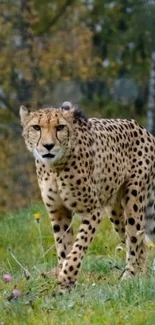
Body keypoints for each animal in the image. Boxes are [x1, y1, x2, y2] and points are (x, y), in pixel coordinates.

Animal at [19, 102, 155, 288]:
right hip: (116, 212)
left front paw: (66, 278)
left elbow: (78, 246)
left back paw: (130, 276)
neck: (55, 167)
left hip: (133, 200)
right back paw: (141, 275)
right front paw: (63, 279)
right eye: (36, 127)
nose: (48, 146)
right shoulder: (58, 212)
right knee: (140, 241)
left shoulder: (92, 211)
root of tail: (142, 128)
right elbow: (63, 247)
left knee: (135, 238)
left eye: (60, 127)